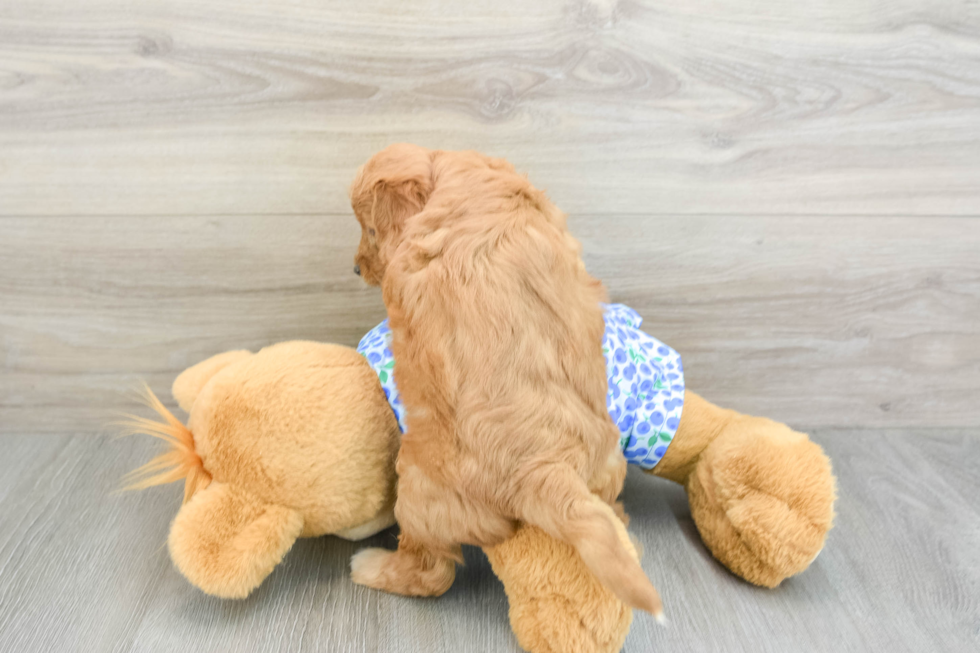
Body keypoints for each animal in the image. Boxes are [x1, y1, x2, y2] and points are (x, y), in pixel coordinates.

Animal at [348, 143, 664, 616]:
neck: (463, 180)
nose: (355, 269)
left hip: (421, 486)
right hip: (608, 464)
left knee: (430, 572)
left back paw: (370, 566)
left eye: (369, 229)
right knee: (611, 510)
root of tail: (546, 468)